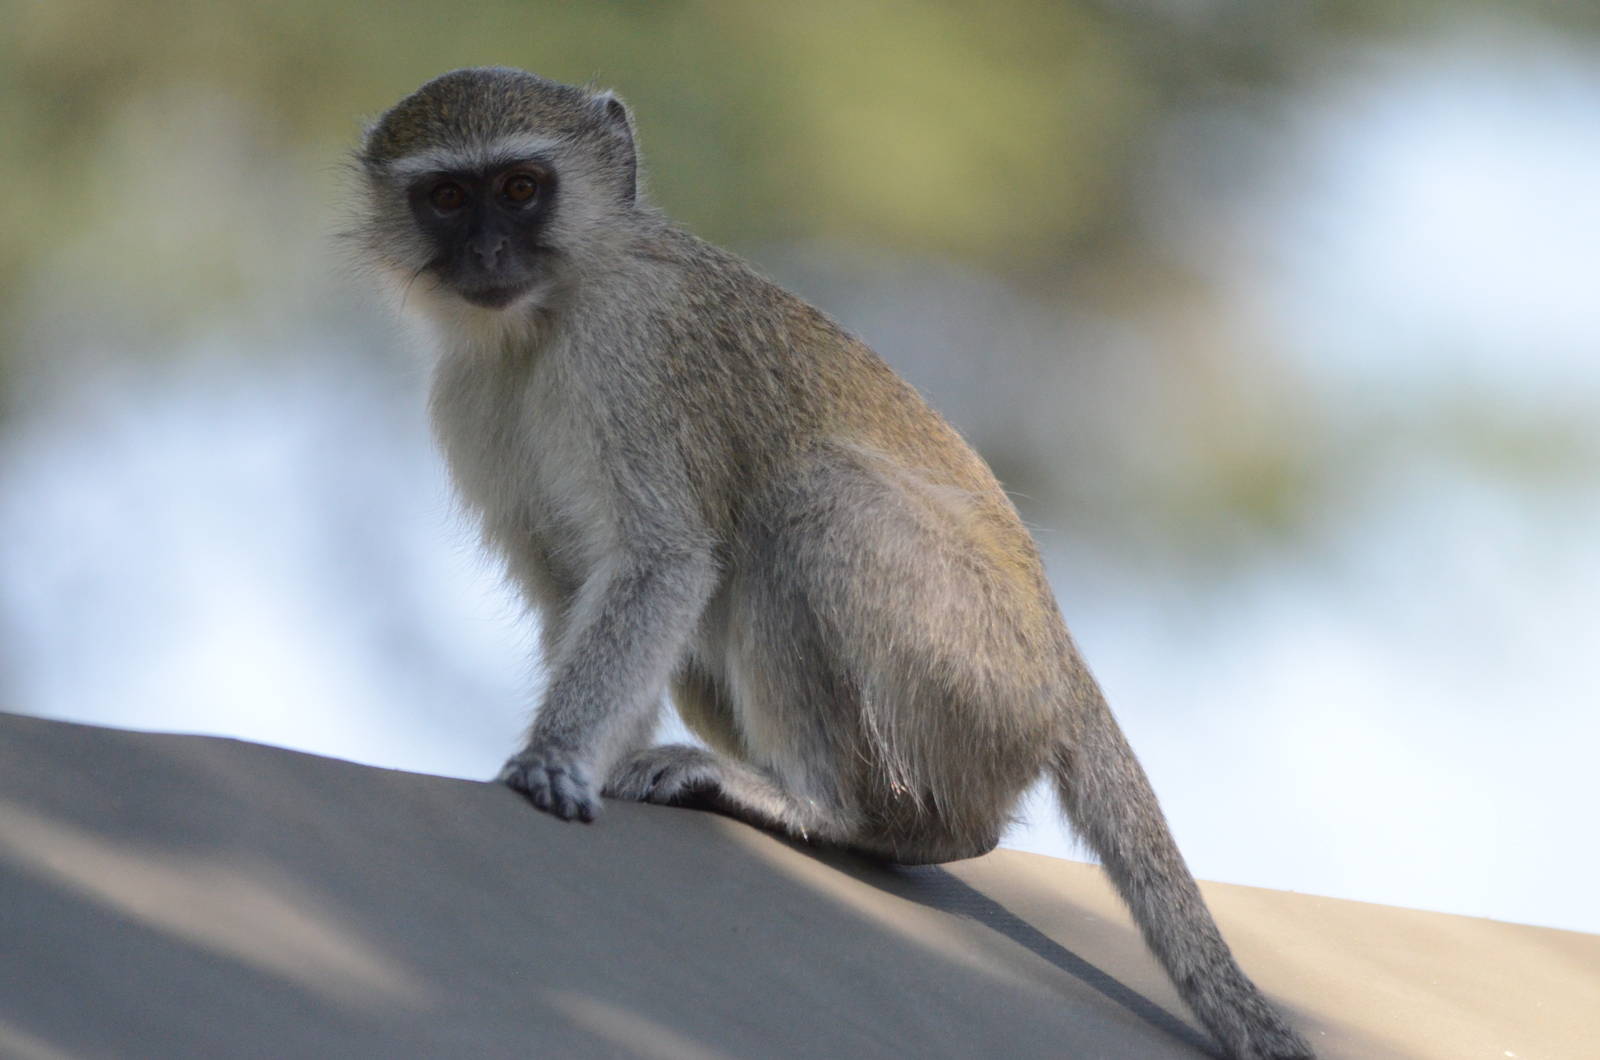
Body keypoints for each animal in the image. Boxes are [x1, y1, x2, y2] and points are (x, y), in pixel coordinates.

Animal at [350, 67, 1314, 1060]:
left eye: (519, 188)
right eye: (448, 198)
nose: (488, 251)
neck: (548, 316)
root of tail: (1060, 671)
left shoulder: (632, 352)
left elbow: (661, 560)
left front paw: (555, 757)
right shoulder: (468, 397)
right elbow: (571, 590)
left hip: (973, 672)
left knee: (811, 506)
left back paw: (827, 809)